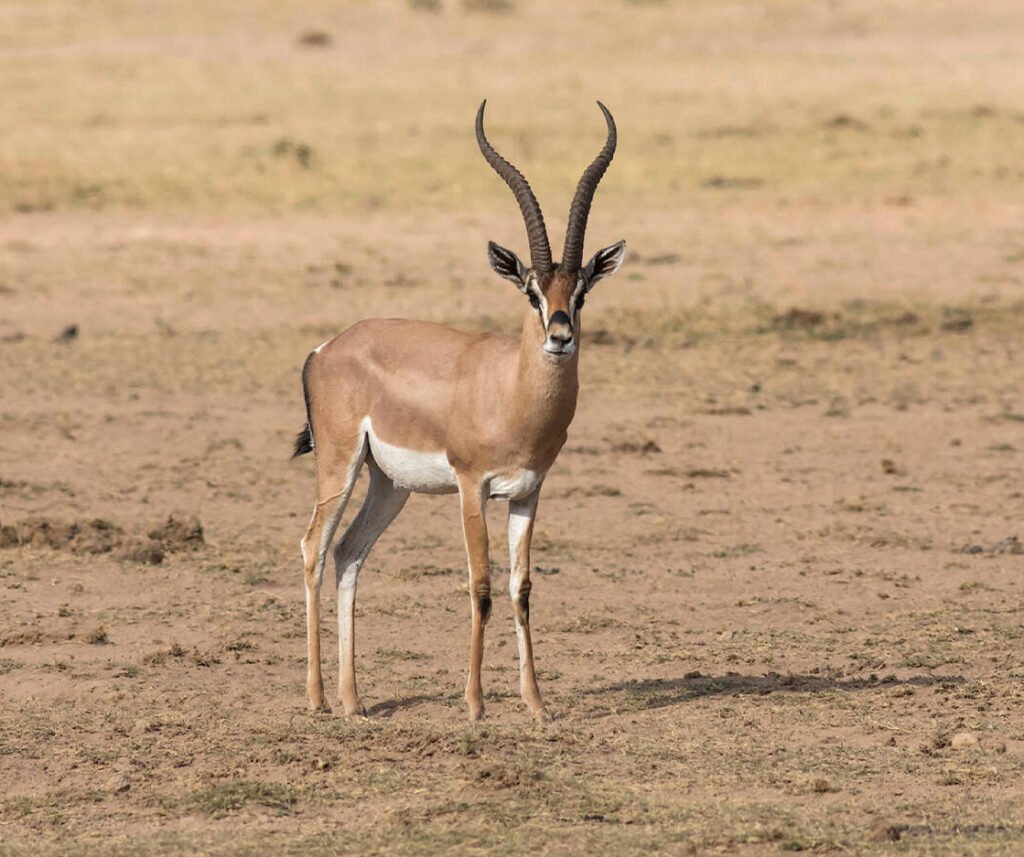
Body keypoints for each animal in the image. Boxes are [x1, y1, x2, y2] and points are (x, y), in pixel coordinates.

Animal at [293, 100, 626, 721]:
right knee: (314, 549)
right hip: (339, 467)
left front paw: (536, 704)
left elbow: (522, 589)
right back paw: (318, 698)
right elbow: (482, 587)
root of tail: (327, 348)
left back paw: (354, 701)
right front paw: (474, 704)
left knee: (349, 553)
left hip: (388, 485)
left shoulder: (528, 492)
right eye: (530, 290)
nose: (560, 337)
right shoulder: (472, 488)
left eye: (581, 290)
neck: (511, 391)